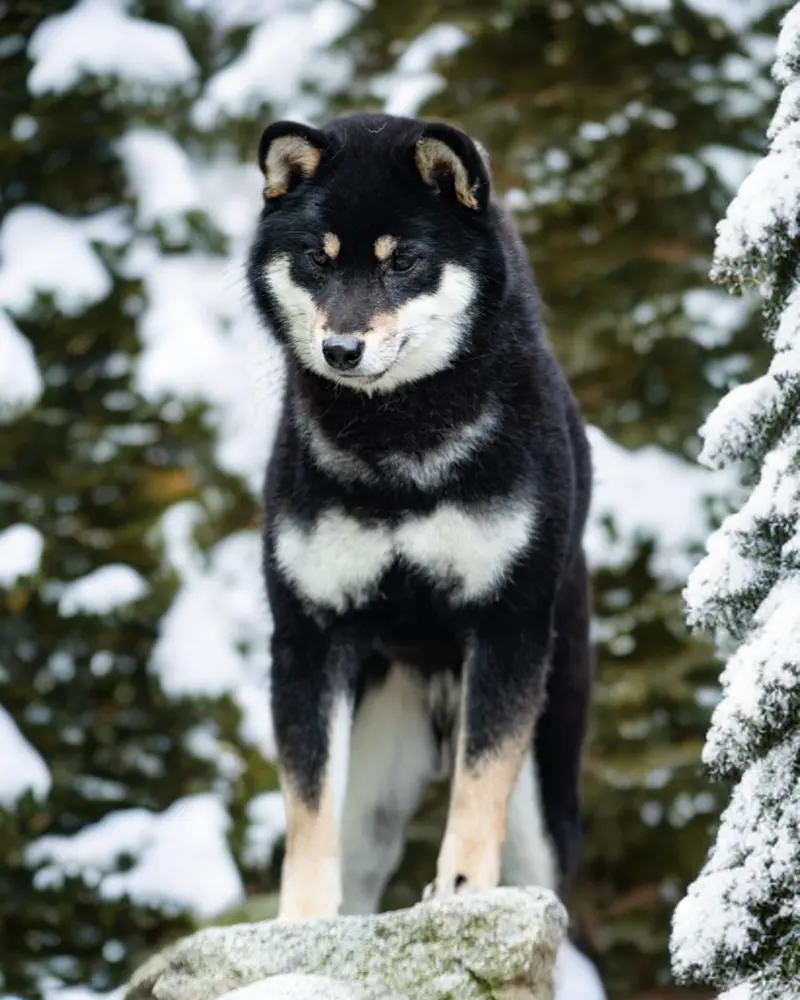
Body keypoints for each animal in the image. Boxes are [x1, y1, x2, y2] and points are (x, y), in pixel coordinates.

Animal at [246, 112, 593, 921]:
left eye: (403, 259)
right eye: (317, 259)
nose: (341, 348)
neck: (397, 445)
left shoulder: (507, 624)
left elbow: (476, 791)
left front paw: (461, 889)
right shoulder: (309, 638)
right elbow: (307, 811)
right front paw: (300, 921)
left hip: (543, 790)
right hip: (375, 786)